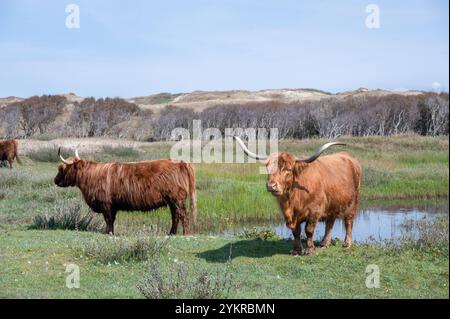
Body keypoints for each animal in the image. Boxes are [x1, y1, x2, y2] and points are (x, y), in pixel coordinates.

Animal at [53, 149, 197, 235]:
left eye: (62, 168)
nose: (55, 180)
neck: (90, 176)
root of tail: (181, 162)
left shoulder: (106, 204)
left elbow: (108, 219)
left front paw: (108, 233)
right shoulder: (113, 205)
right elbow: (112, 220)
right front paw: (111, 232)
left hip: (177, 198)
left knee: (183, 214)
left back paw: (185, 234)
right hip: (172, 201)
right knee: (175, 215)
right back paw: (171, 233)